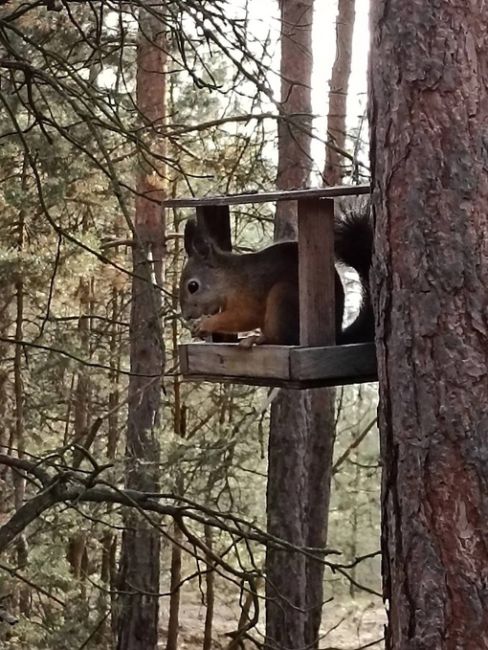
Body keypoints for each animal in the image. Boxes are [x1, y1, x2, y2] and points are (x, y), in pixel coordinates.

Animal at [179, 201, 374, 344]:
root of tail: (337, 334)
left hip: (283, 296)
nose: (187, 316)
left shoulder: (251, 292)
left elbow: (246, 317)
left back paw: (258, 339)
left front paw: (205, 324)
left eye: (193, 286)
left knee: (284, 339)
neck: (229, 279)